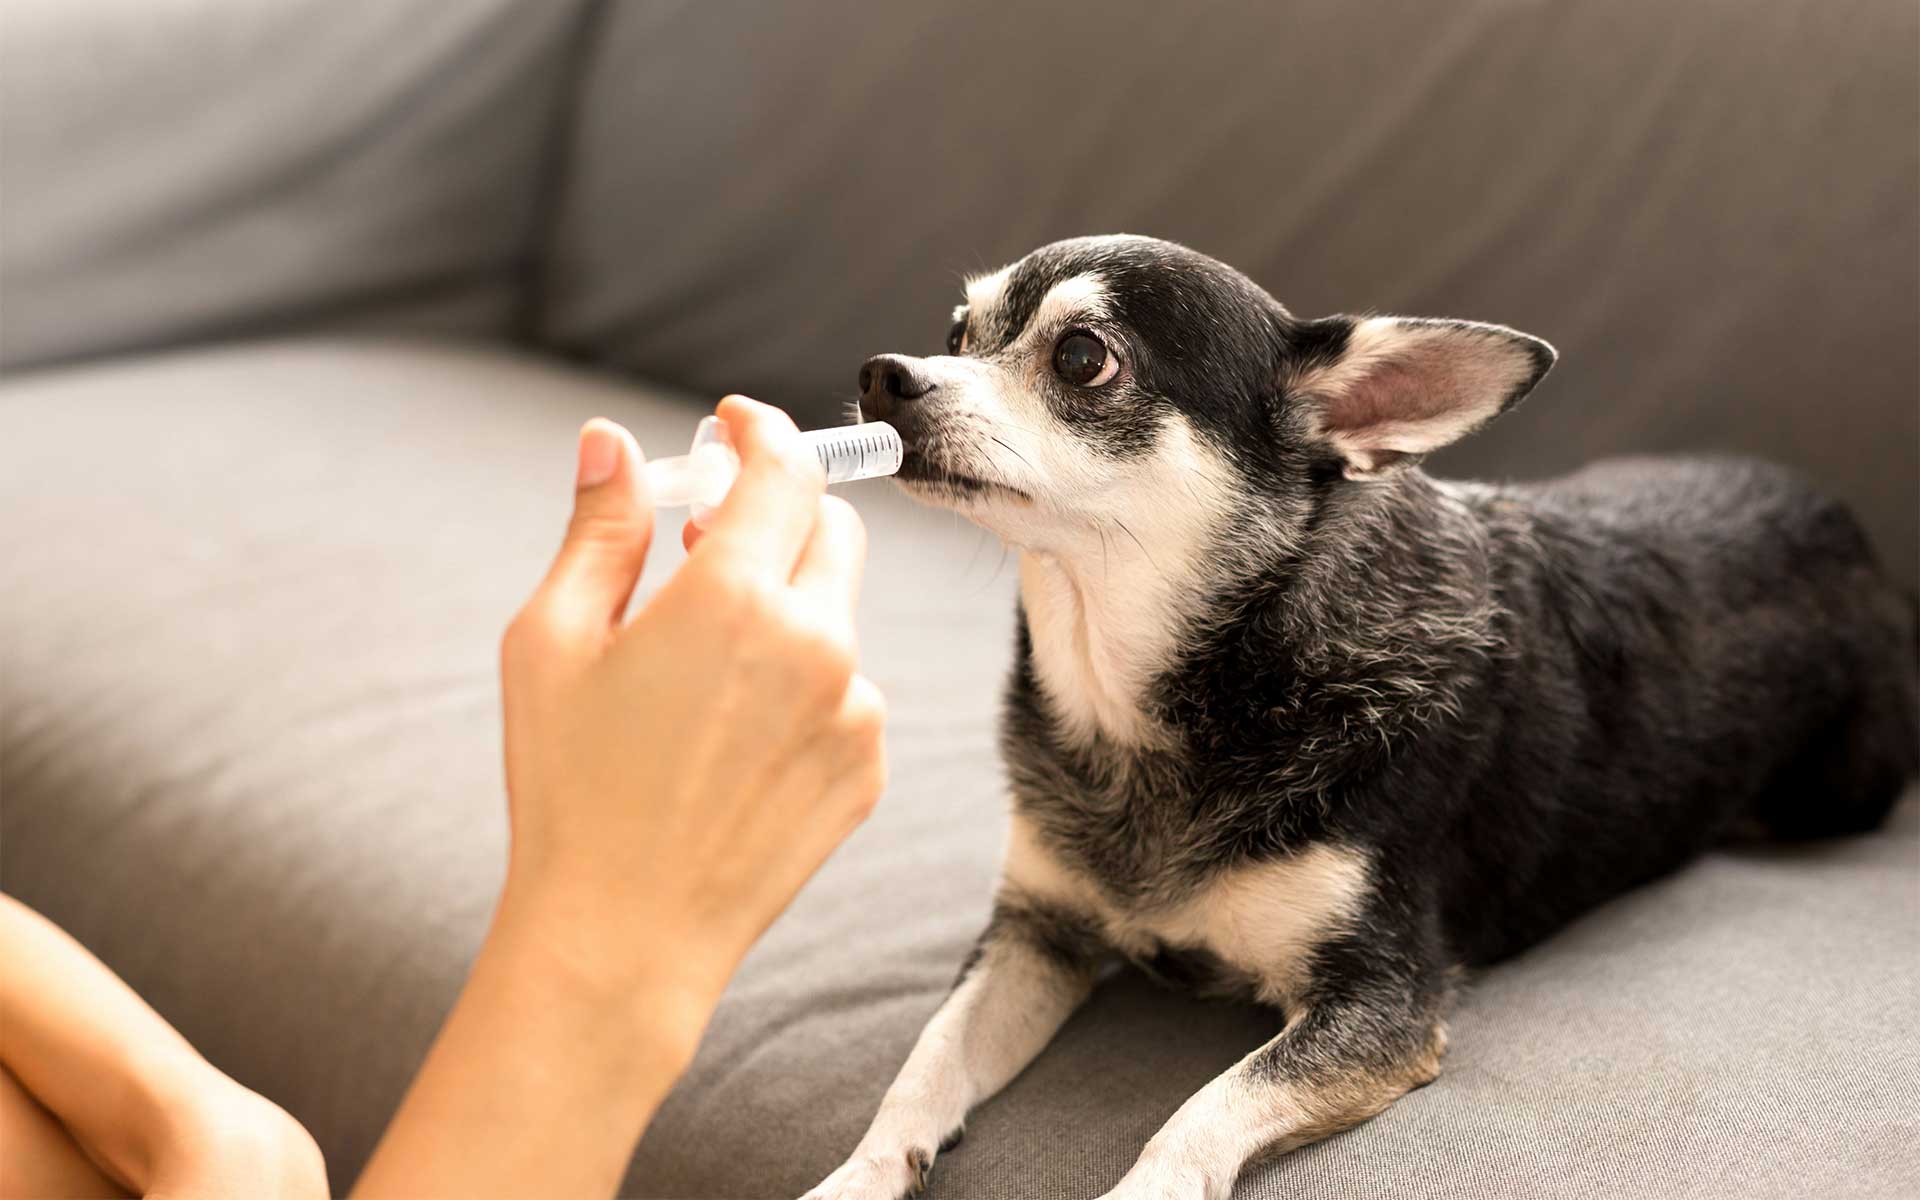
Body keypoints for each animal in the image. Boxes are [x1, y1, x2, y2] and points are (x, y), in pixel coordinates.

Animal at [802, 234, 1912, 1198]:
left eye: (1082, 358)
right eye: (958, 333)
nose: (885, 373)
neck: (1161, 701)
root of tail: (1853, 531)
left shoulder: (1380, 1006)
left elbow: (1200, 1112)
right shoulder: (1037, 934)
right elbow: (926, 1061)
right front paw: (854, 1177)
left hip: (1838, 789)